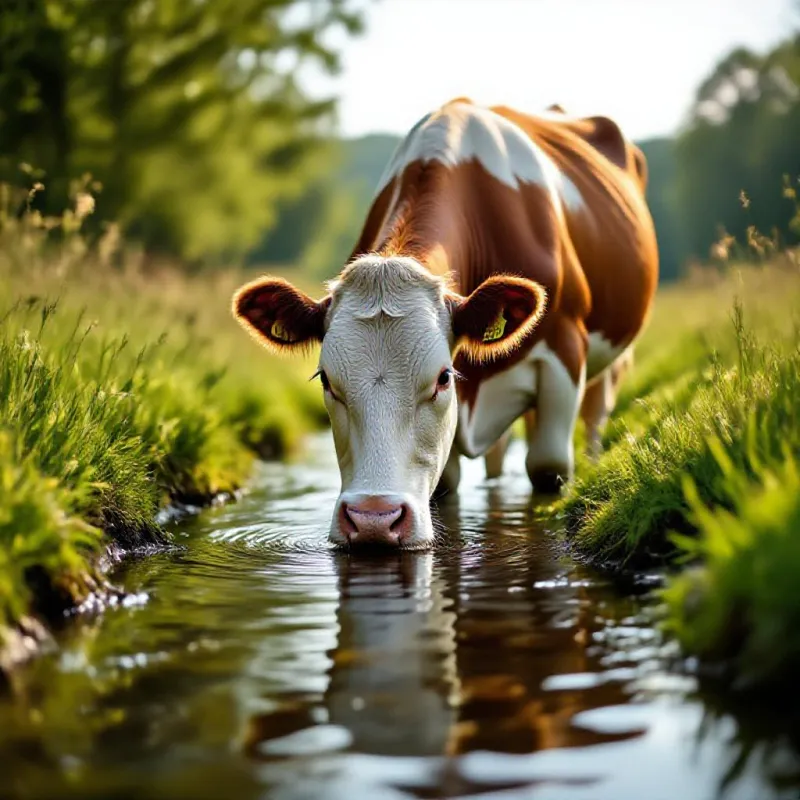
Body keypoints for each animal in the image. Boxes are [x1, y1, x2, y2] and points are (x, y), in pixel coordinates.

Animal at [232, 97, 659, 551]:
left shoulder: (564, 351)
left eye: (443, 378)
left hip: (611, 360)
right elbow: (445, 485)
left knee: (595, 417)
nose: (373, 518)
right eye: (327, 381)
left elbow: (548, 466)